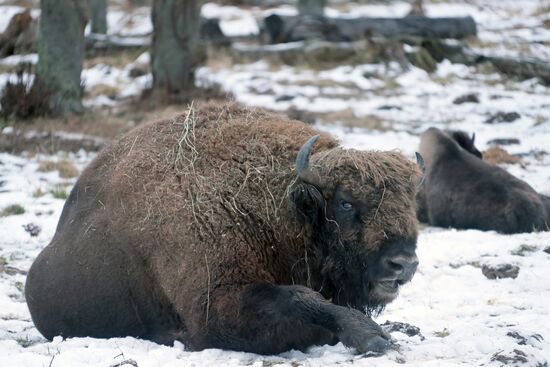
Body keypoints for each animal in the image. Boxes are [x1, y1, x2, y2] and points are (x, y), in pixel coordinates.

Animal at [24, 102, 422, 356]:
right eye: (345, 203)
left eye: (411, 202)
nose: (403, 263)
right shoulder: (215, 307)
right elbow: (300, 299)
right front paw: (372, 337)